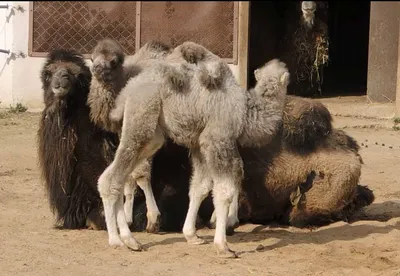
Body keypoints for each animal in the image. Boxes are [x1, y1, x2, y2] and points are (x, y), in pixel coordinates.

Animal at [96, 40, 290, 256]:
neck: (245, 113)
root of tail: (127, 91)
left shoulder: (199, 144)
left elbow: (200, 188)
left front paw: (192, 235)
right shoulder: (217, 138)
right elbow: (224, 190)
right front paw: (222, 245)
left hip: (153, 135)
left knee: (118, 176)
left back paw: (129, 239)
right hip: (141, 117)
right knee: (113, 178)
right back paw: (117, 240)